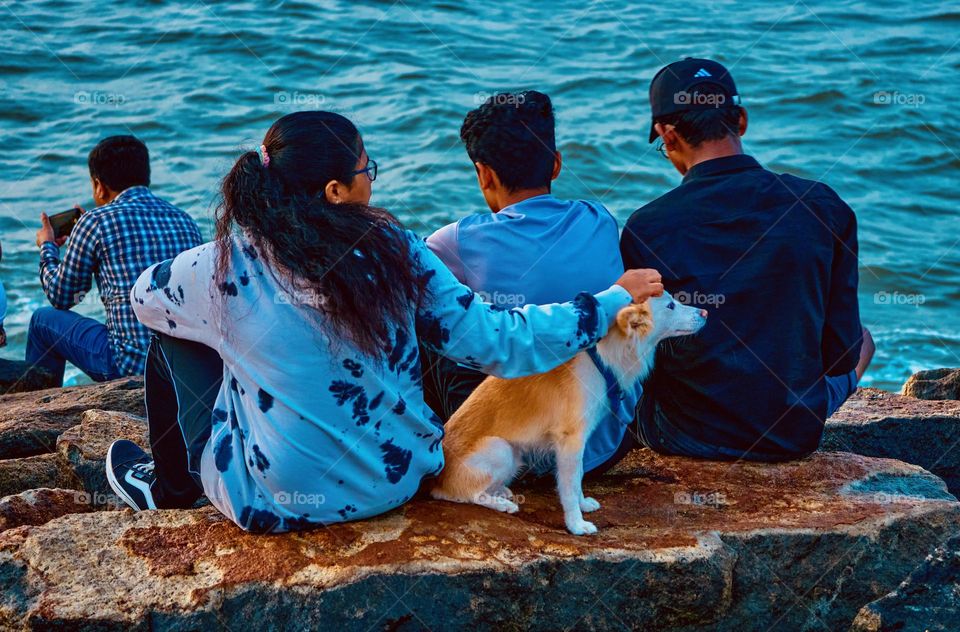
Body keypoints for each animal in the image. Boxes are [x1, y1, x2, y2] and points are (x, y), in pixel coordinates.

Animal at [432, 292, 708, 532]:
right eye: (670, 305)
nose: (705, 312)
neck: (601, 360)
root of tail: (437, 481)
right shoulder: (570, 442)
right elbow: (569, 485)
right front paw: (576, 524)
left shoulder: (578, 443)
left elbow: (578, 478)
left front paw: (583, 504)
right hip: (501, 449)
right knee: (468, 494)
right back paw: (501, 503)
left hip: (515, 455)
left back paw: (501, 491)